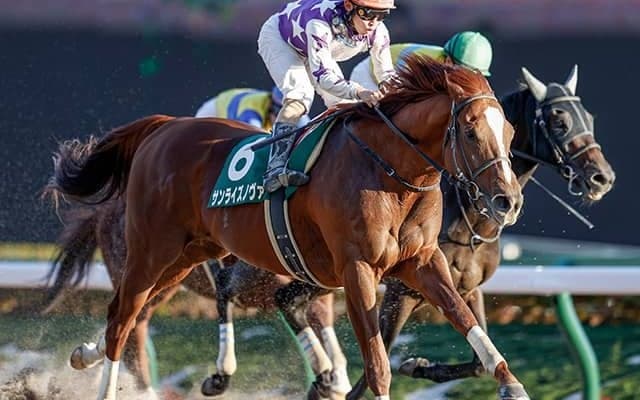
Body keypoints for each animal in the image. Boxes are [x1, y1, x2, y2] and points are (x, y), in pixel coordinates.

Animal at [42, 198, 351, 399]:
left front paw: (334, 382)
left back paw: (86, 354)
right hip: (144, 273)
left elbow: (329, 340)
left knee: (125, 328)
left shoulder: (319, 290)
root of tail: (104, 208)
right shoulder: (253, 283)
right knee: (130, 335)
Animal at [343, 65, 616, 399]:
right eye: (559, 121)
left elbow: (477, 360)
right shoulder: (400, 291)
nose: (603, 177)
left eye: (588, 119)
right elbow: (369, 368)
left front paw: (417, 365)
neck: (467, 221)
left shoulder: (469, 288)